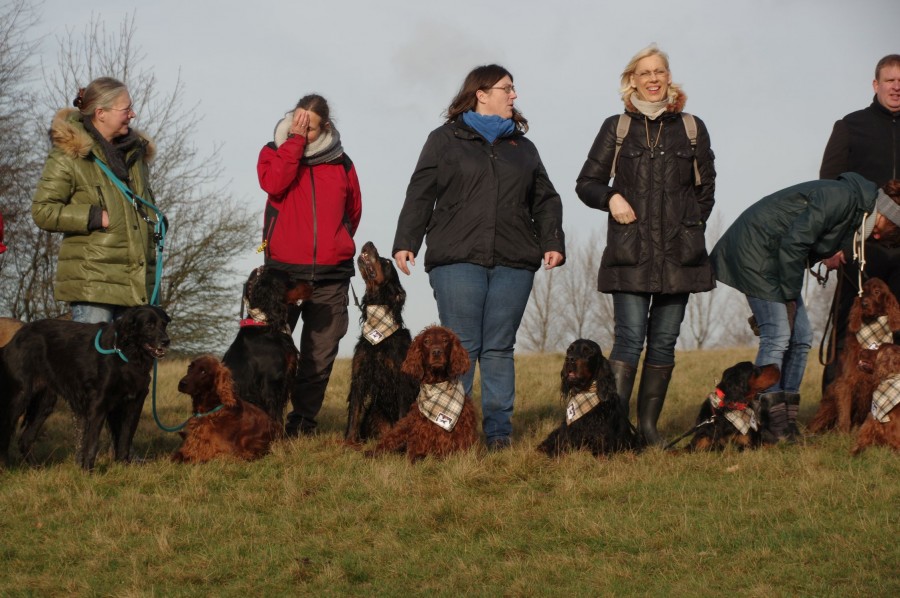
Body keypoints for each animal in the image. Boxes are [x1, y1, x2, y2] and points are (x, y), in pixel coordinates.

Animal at [0, 305, 170, 470]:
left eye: (164, 324)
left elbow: (125, 439)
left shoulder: (134, 403)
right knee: (6, 431)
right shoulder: (98, 404)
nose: (166, 341)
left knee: (24, 440)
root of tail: (14, 340)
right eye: (149, 325)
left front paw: (123, 467)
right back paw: (6, 468)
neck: (127, 352)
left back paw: (37, 468)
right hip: (20, 396)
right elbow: (92, 443)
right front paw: (88, 471)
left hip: (44, 402)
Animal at [345, 241, 418, 443]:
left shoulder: (401, 379)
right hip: (376, 413)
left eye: (386, 262)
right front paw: (349, 442)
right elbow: (354, 412)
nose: (369, 243)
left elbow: (402, 413)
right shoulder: (359, 375)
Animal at [809, 278, 900, 433]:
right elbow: (844, 414)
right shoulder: (846, 382)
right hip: (829, 404)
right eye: (863, 292)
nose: (864, 304)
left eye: (877, 291)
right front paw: (843, 434)